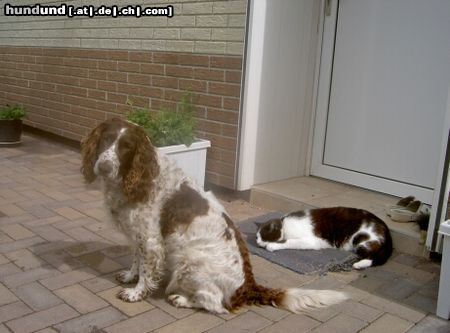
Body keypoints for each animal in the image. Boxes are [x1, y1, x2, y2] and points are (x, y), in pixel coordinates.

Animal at [81, 118, 348, 312]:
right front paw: (129, 276)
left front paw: (136, 293)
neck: (136, 179)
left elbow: (147, 271)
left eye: (126, 148)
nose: (103, 166)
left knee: (215, 304)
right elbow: (136, 261)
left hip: (189, 261)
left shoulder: (151, 240)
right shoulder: (138, 234)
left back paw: (181, 299)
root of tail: (248, 287)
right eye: (106, 140)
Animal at [255, 206, 392, 268]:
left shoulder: (311, 241)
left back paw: (358, 264)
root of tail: (385, 226)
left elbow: (289, 241)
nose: (258, 243)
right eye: (256, 237)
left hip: (361, 241)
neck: (285, 224)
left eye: (263, 237)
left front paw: (272, 246)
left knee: (374, 256)